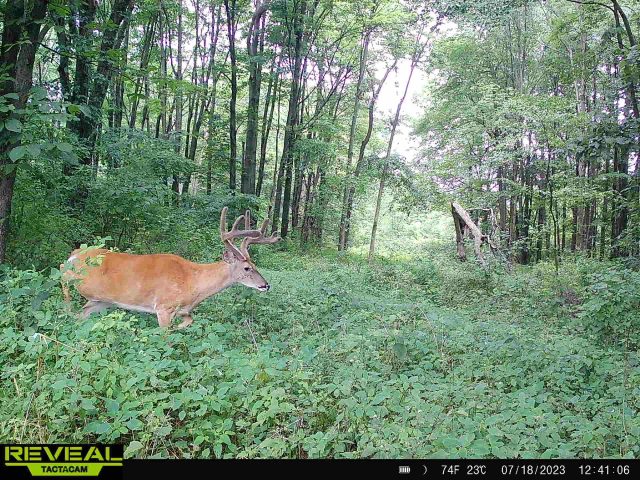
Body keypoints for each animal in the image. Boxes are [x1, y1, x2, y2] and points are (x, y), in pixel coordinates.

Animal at [61, 207, 280, 328]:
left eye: (255, 264)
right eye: (247, 268)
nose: (266, 285)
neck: (193, 282)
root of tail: (75, 253)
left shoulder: (182, 309)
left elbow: (189, 321)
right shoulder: (163, 307)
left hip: (100, 302)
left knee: (80, 316)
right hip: (82, 282)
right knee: (63, 275)